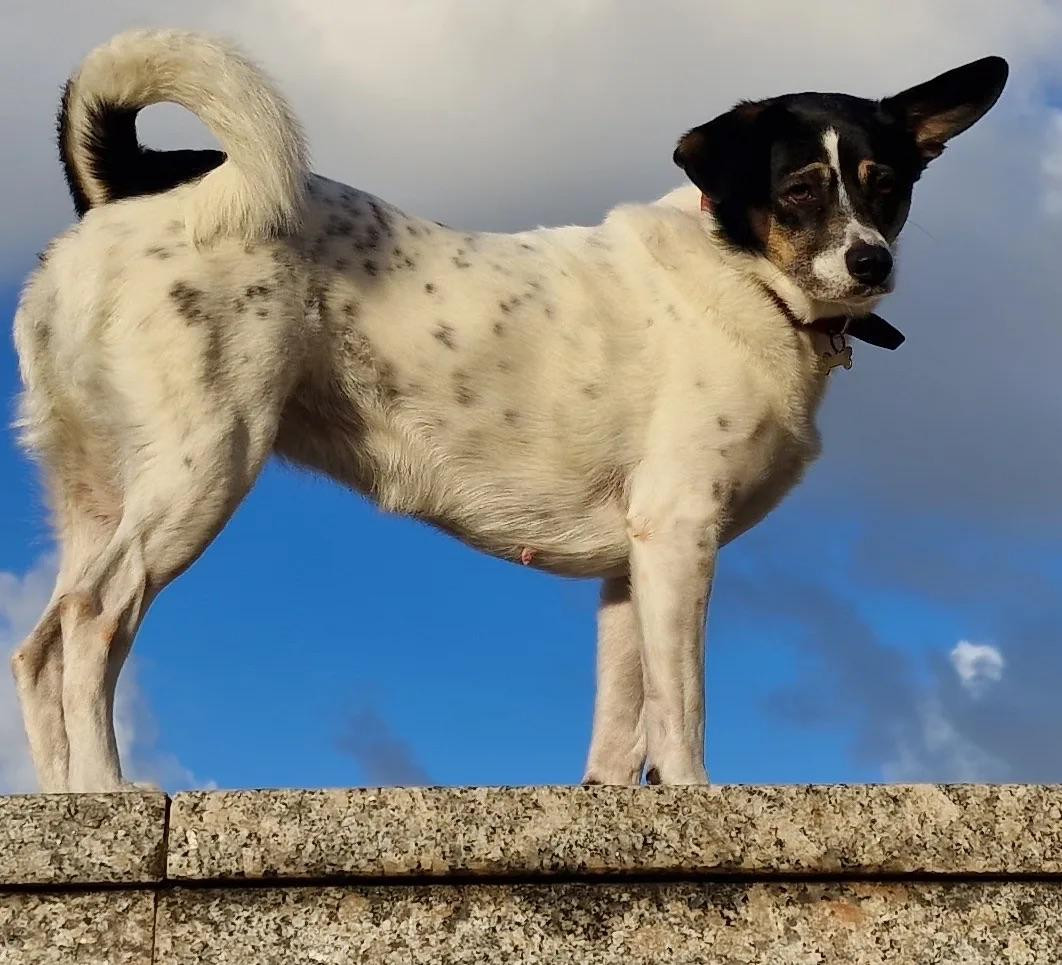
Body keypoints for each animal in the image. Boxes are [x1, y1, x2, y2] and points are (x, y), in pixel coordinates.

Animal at [10, 30, 1002, 789]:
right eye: (798, 189)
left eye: (887, 185)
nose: (873, 263)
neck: (744, 274)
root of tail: (137, 183)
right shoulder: (681, 533)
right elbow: (680, 713)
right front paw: (698, 801)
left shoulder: (631, 565)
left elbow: (621, 727)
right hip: (206, 462)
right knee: (93, 619)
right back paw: (110, 793)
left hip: (98, 495)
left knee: (41, 646)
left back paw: (66, 800)